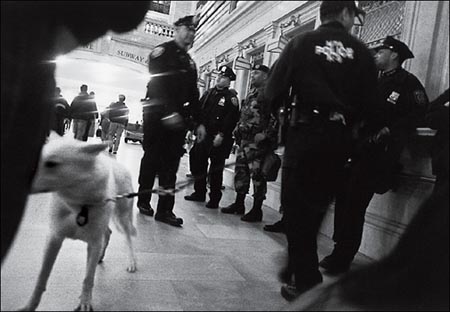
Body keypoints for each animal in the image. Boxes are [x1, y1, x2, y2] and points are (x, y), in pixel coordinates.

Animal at [19, 132, 138, 312]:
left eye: (51, 164)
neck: (79, 206)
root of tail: (118, 165)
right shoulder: (54, 239)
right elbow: (42, 276)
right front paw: (30, 305)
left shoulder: (93, 243)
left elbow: (88, 278)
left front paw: (85, 302)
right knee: (107, 234)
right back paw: (101, 256)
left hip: (122, 218)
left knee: (127, 239)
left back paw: (131, 261)